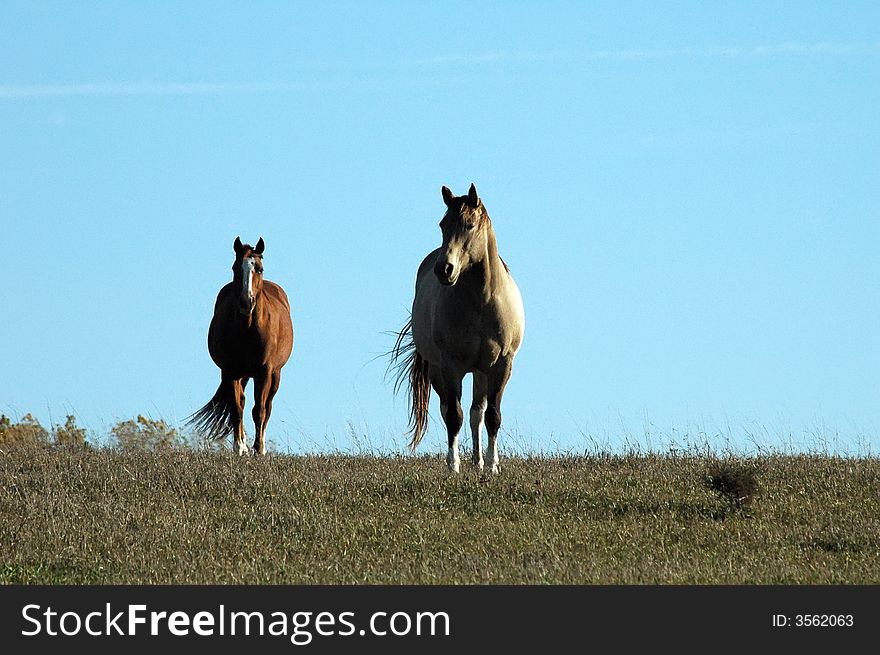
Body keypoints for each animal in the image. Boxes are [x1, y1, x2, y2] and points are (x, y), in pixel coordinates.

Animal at [187, 237, 294, 456]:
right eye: (235, 268)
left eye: (259, 269)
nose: (246, 302)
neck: (247, 329)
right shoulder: (230, 371)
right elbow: (236, 408)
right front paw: (239, 447)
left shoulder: (264, 372)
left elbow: (259, 410)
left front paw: (259, 449)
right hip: (242, 374)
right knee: (242, 402)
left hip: (275, 375)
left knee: (267, 407)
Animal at [390, 182, 524, 474]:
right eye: (443, 224)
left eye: (470, 225)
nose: (444, 269)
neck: (482, 302)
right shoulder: (450, 366)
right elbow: (454, 415)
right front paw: (453, 466)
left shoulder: (501, 365)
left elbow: (492, 415)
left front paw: (492, 466)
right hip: (439, 370)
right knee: (450, 410)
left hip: (481, 372)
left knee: (477, 413)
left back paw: (478, 461)